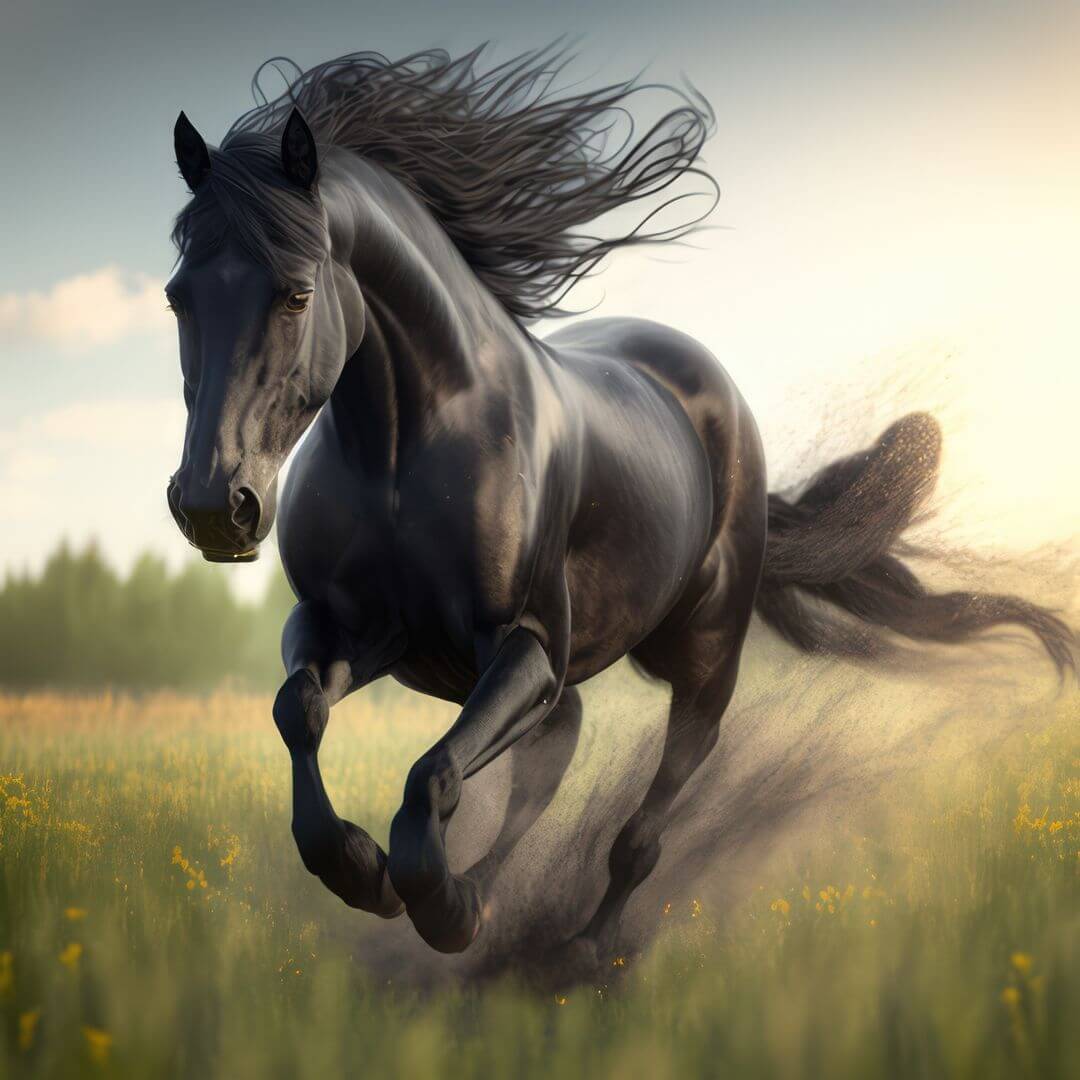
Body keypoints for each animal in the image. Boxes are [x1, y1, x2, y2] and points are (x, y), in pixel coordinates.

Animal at [165, 46, 1074, 960]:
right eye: (177, 296)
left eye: (297, 294)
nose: (213, 505)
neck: (401, 449)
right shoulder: (352, 626)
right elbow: (300, 710)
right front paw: (362, 867)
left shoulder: (525, 644)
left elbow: (434, 774)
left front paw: (433, 900)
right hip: (550, 681)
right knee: (551, 758)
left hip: (700, 665)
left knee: (641, 826)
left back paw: (580, 951)